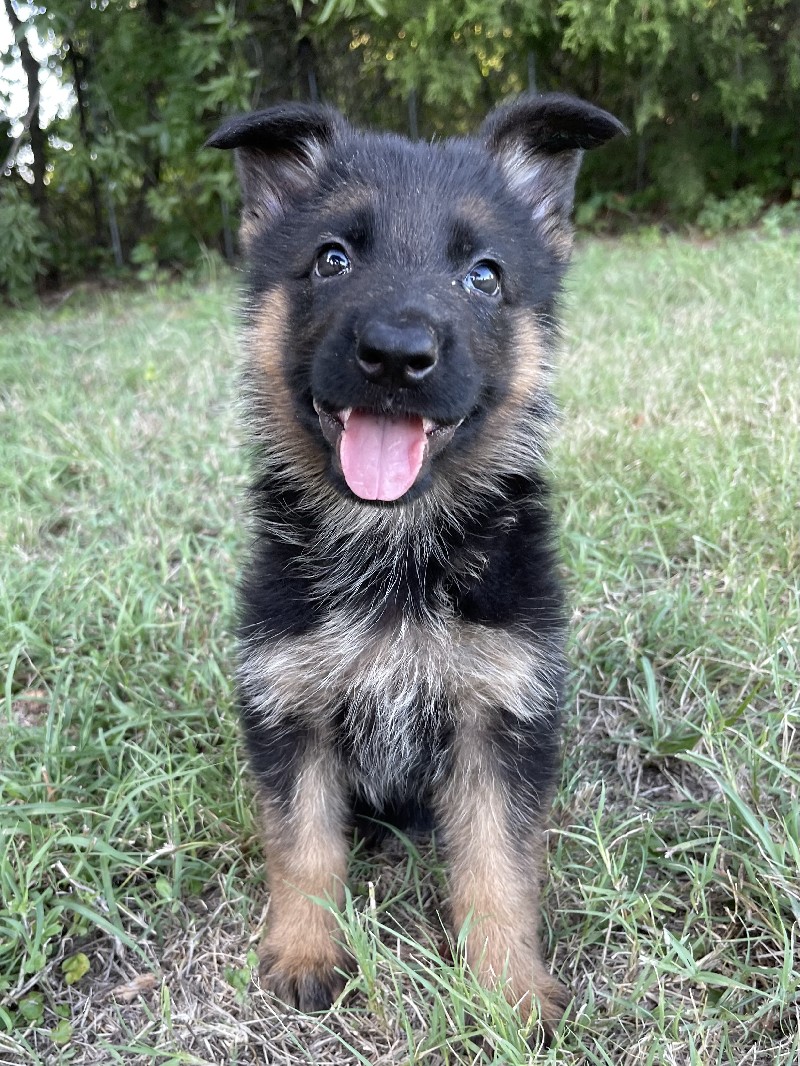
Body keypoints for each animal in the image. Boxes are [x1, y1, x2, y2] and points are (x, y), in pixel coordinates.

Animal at [206, 95, 627, 1036]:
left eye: (484, 276)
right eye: (332, 258)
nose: (397, 354)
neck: (394, 550)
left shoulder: (500, 716)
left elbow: (499, 866)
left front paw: (508, 990)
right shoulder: (288, 706)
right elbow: (303, 847)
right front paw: (305, 951)